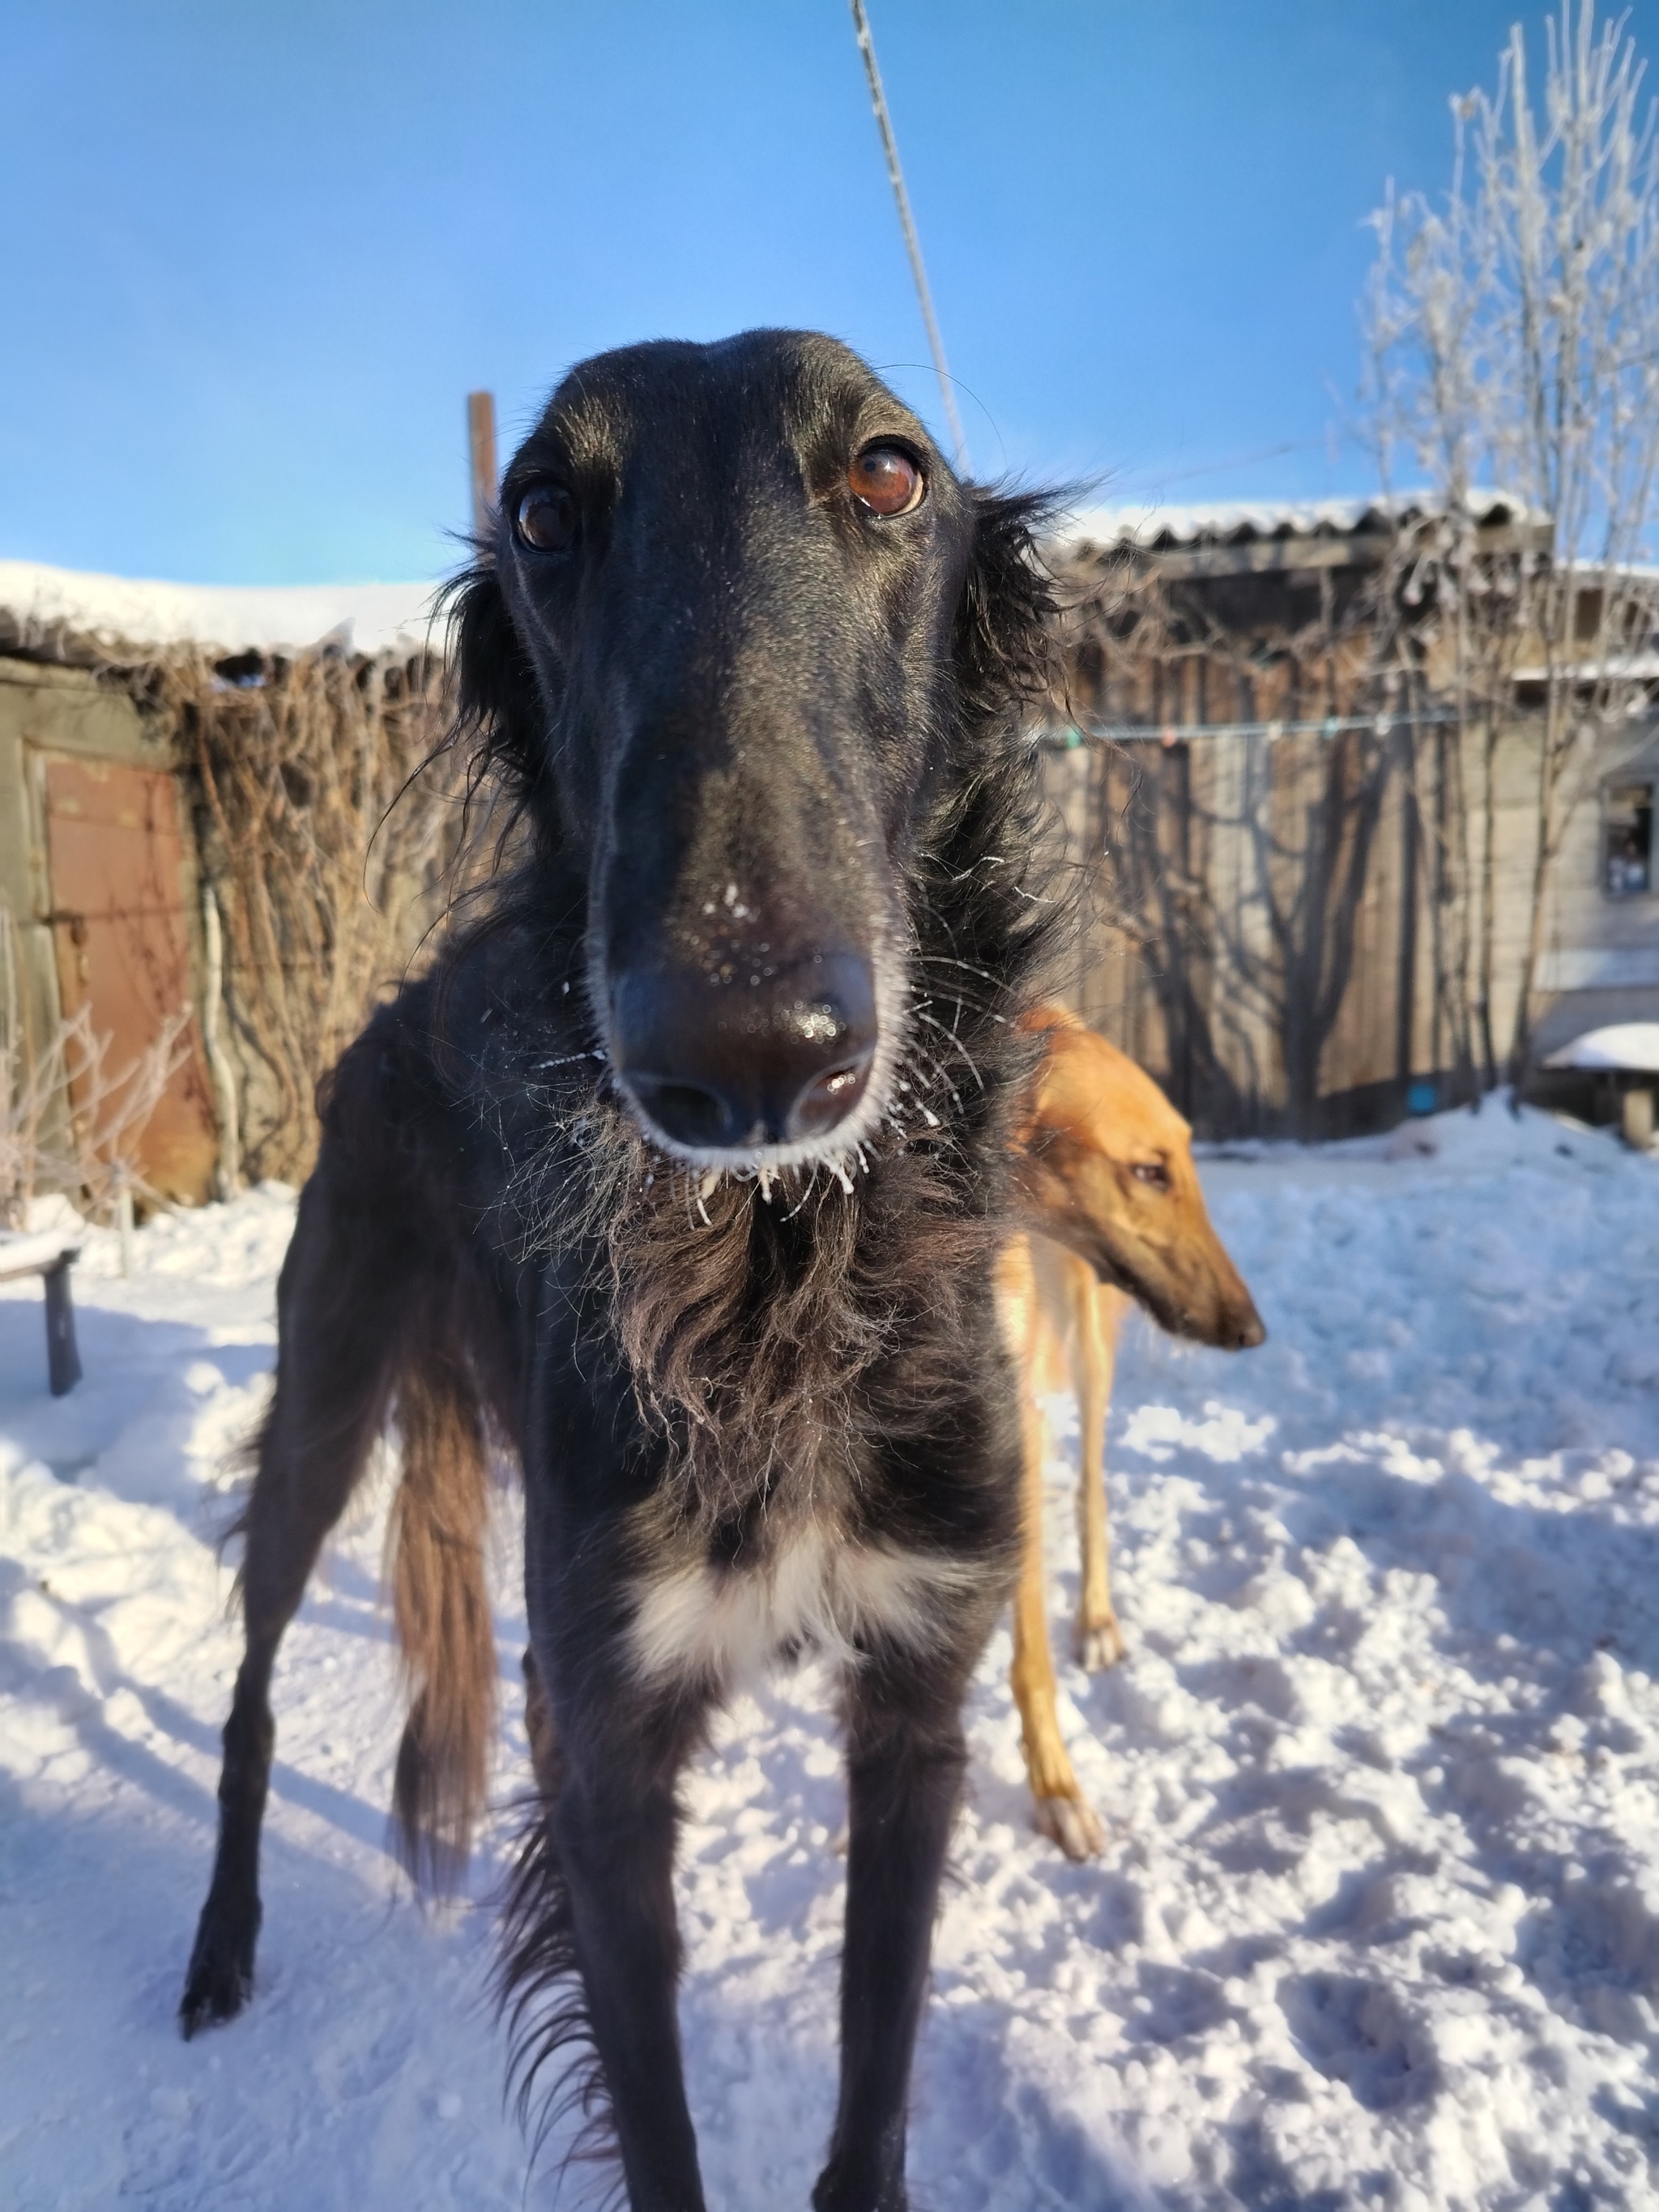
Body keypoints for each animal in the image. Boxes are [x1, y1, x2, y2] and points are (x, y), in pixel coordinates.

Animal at [181, 327, 1066, 2212]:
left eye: (890, 471)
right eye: (539, 509)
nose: (747, 1056)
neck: (778, 1277)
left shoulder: (918, 1699)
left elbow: (869, 2105)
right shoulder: (604, 1740)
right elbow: (656, 2126)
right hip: (325, 1398)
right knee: (251, 1686)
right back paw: (218, 1945)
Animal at [1000, 1012, 1273, 1858]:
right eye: (1149, 1171)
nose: (1251, 1331)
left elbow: (1030, 1660)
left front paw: (1056, 1791)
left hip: (1083, 1339)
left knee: (1089, 1485)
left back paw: (1096, 1621)